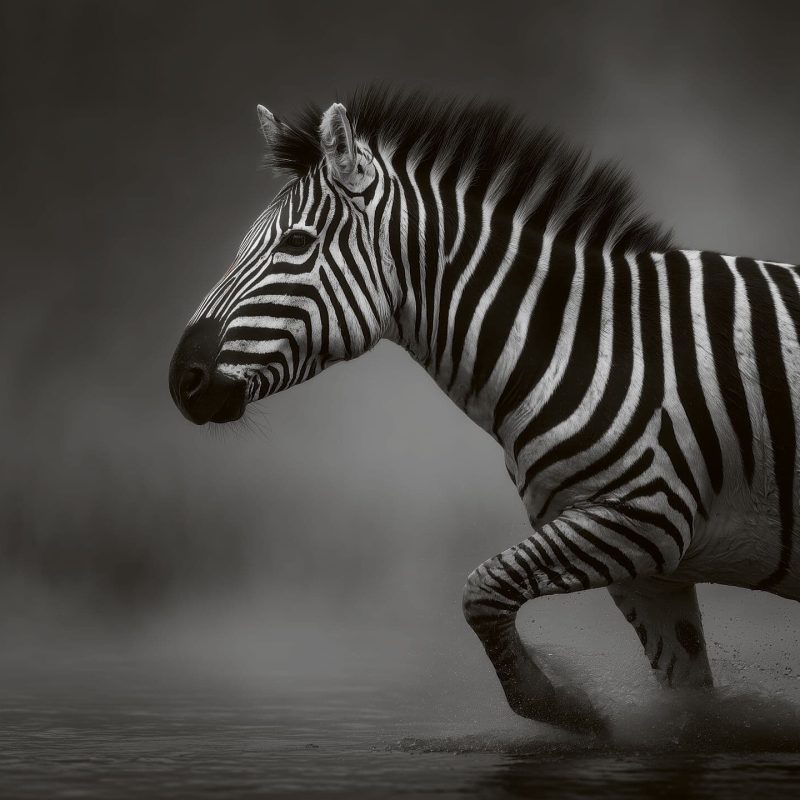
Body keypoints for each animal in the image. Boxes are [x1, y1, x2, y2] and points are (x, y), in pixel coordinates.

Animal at [169, 88, 800, 735]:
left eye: (295, 243)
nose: (182, 381)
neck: (589, 343)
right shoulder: (650, 565)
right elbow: (688, 698)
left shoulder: (644, 516)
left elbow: (482, 589)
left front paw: (562, 704)